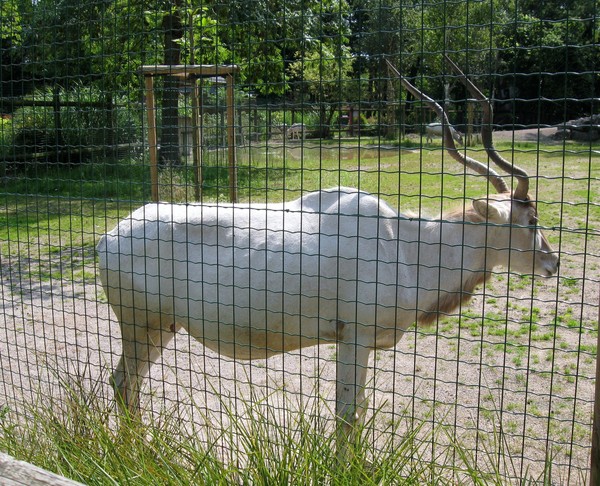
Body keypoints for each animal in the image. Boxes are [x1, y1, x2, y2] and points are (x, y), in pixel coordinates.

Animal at [96, 58, 560, 450]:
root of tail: (108, 238)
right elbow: (348, 415)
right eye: (532, 219)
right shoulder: (355, 337)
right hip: (140, 325)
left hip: (161, 327)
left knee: (125, 383)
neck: (405, 245)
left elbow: (356, 413)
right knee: (123, 383)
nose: (552, 263)